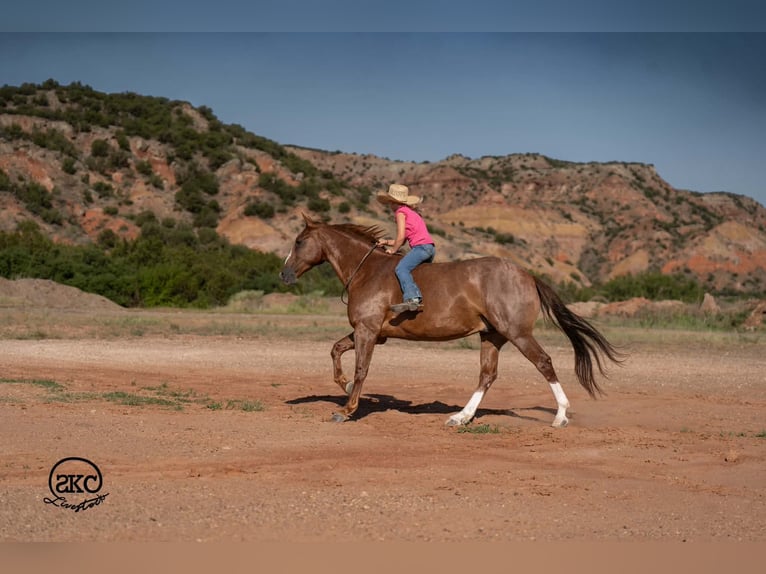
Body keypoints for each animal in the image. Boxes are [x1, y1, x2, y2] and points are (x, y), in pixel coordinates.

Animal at [280, 214, 623, 427]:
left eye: (299, 241)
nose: (283, 274)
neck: (367, 270)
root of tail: (527, 275)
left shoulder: (367, 332)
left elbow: (361, 369)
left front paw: (347, 409)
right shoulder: (373, 333)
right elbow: (336, 351)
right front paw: (346, 386)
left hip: (517, 333)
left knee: (544, 363)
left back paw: (560, 416)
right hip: (492, 335)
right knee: (487, 375)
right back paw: (460, 417)